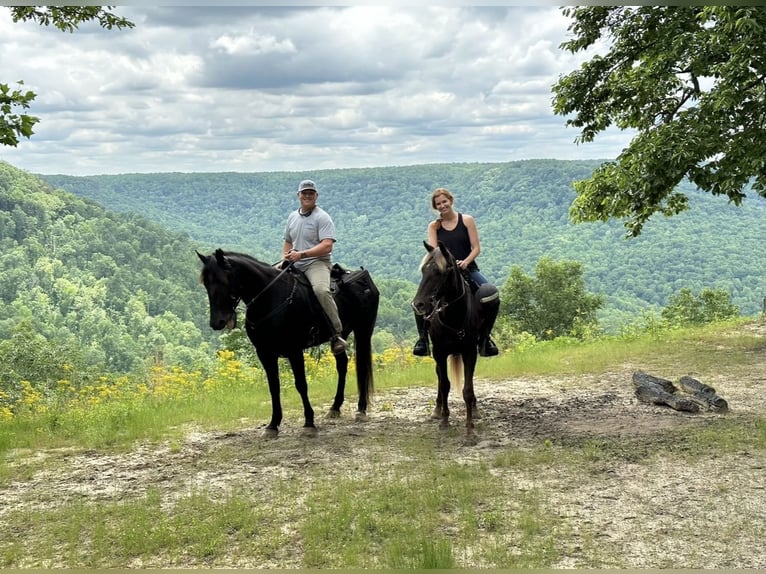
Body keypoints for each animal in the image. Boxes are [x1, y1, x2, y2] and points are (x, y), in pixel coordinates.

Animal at [196, 249, 380, 440]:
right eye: (206, 284)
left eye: (223, 281)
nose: (217, 322)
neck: (271, 298)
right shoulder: (265, 353)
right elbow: (273, 387)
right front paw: (273, 425)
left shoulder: (294, 351)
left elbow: (301, 384)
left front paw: (309, 423)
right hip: (340, 336)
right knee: (342, 365)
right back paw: (335, 408)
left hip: (363, 330)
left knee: (362, 367)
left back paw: (361, 409)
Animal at [412, 241, 500, 444]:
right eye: (423, 270)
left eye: (440, 272)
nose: (418, 304)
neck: (453, 315)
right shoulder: (439, 352)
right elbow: (445, 385)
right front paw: (444, 422)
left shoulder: (469, 352)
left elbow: (467, 389)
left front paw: (470, 430)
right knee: (439, 378)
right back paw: (437, 410)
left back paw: (474, 410)